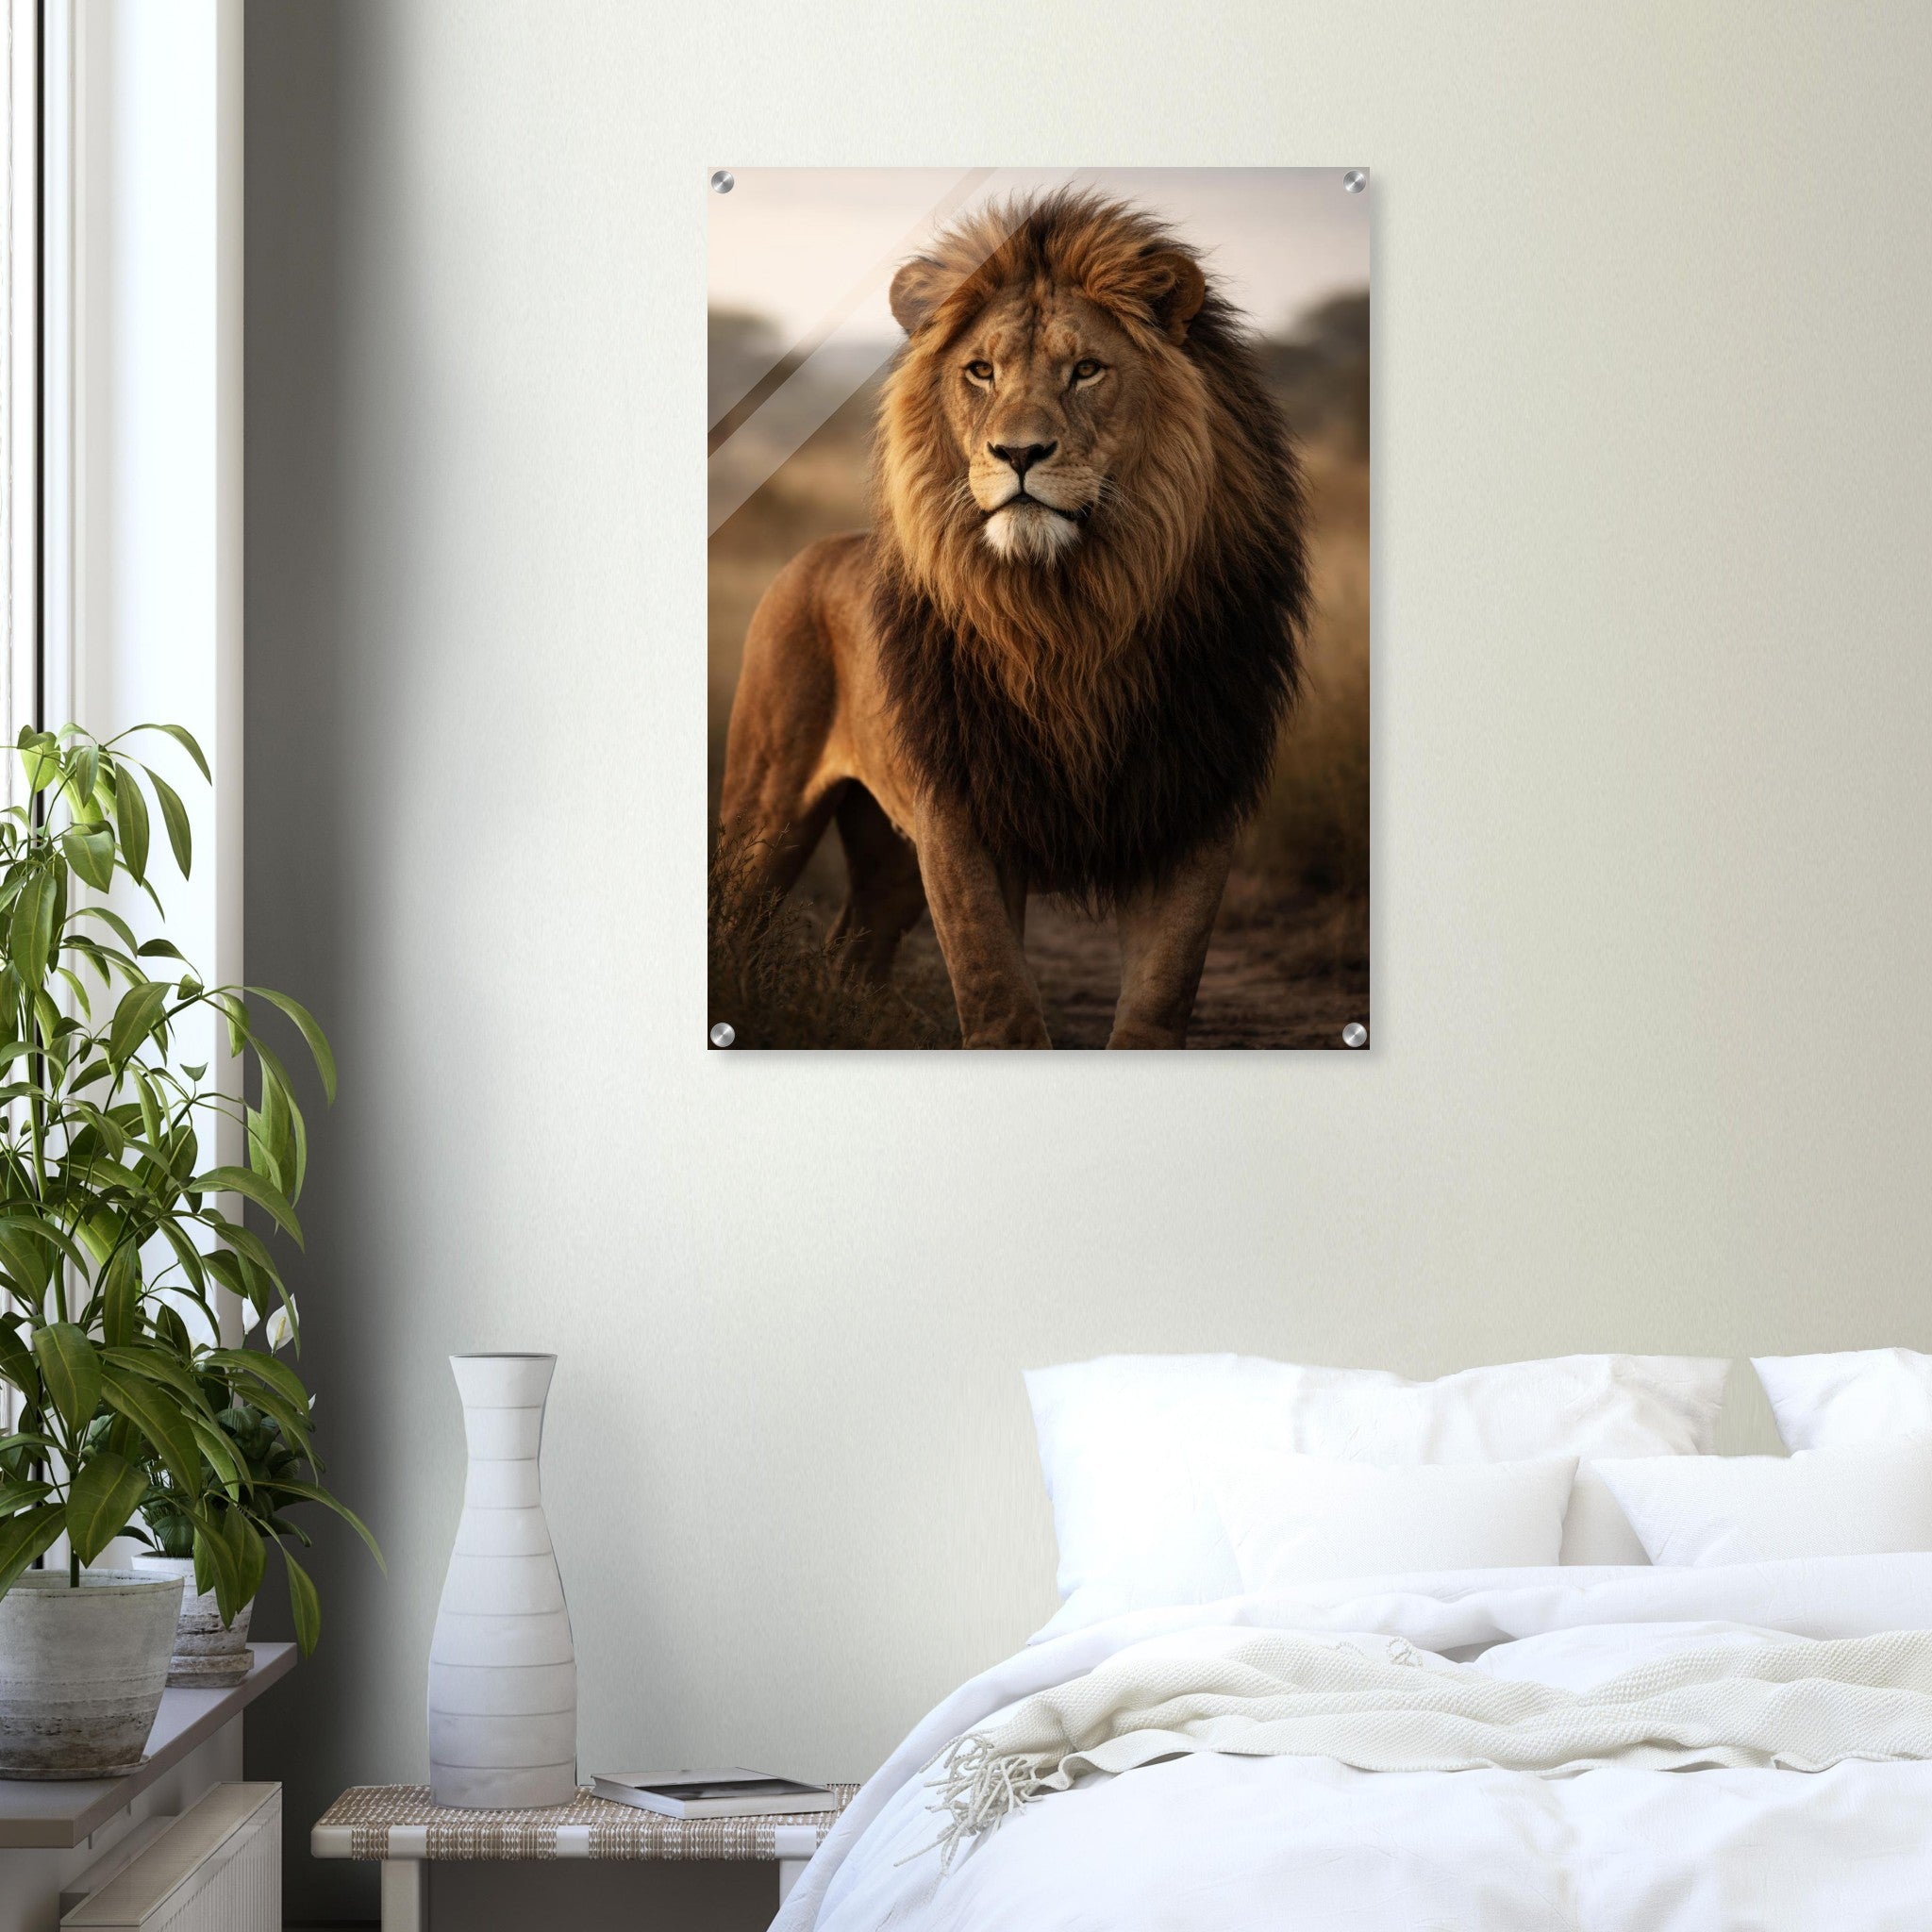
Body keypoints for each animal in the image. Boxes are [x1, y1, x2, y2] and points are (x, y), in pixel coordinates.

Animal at [718, 190, 1309, 1048]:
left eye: (1086, 370)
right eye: (981, 371)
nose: (1019, 453)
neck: (1067, 616)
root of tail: (816, 551)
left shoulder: (1193, 806)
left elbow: (1160, 998)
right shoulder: (959, 813)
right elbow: (997, 992)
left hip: (886, 851)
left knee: (852, 951)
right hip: (766, 810)